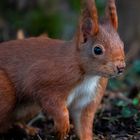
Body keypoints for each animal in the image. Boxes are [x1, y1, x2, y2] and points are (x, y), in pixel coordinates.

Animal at [0, 0, 125, 139]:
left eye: (122, 44)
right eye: (97, 50)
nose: (121, 67)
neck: (88, 75)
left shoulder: (88, 97)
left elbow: (84, 123)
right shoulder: (44, 80)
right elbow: (54, 104)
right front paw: (63, 127)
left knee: (12, 121)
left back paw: (27, 129)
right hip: (5, 93)